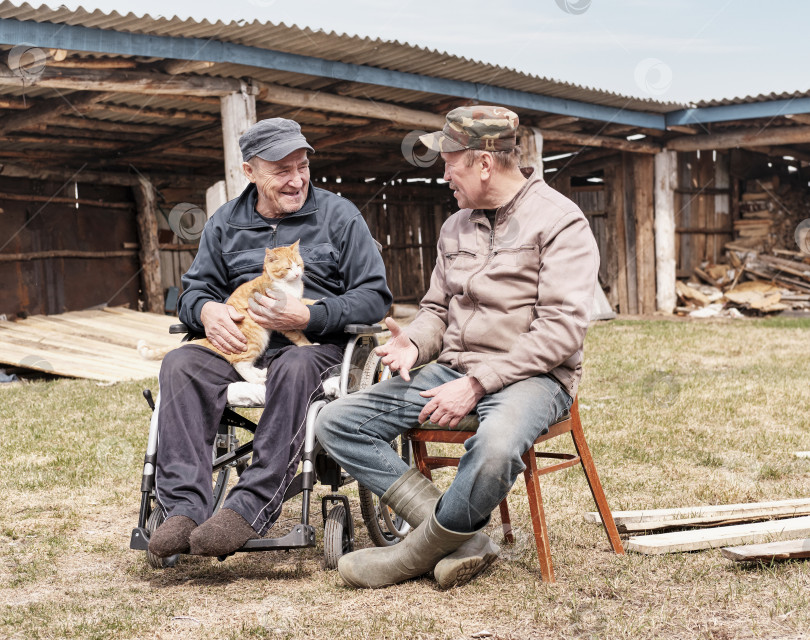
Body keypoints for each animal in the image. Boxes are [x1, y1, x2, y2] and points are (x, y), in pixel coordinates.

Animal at [137, 239, 314, 380]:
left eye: (298, 265)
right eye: (288, 268)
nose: (297, 274)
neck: (290, 286)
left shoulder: (297, 301)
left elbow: (306, 302)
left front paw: (316, 301)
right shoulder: (281, 320)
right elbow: (299, 337)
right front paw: (310, 345)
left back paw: (260, 373)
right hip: (257, 338)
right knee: (239, 364)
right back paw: (258, 380)